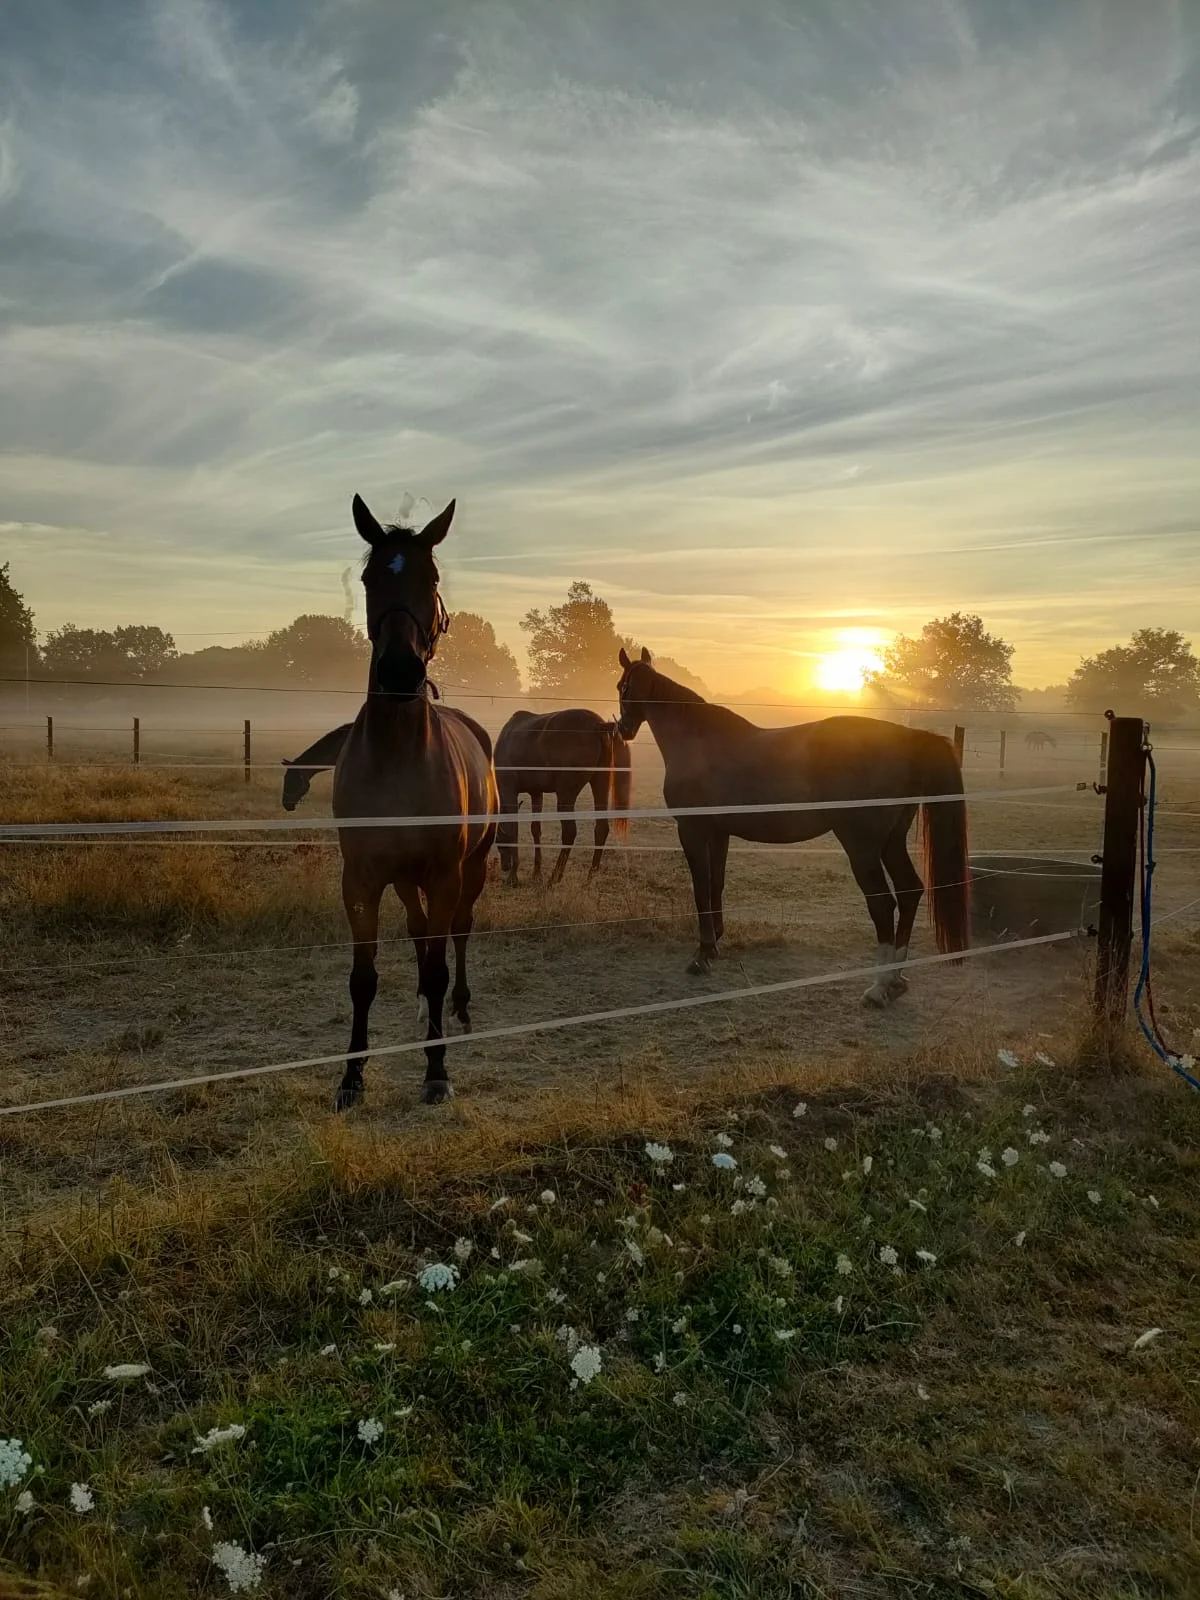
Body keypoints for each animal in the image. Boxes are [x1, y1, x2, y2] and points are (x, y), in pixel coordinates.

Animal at [329, 492, 499, 1107]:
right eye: (370, 576)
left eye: (432, 577)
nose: (401, 671)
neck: (398, 758)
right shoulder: (361, 879)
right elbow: (364, 977)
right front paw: (352, 1076)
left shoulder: (446, 874)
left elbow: (438, 966)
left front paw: (436, 1069)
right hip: (405, 880)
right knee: (423, 932)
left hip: (472, 868)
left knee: (455, 934)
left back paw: (459, 1009)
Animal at [496, 713, 633, 889]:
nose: (505, 866)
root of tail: (599, 725)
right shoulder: (536, 793)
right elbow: (535, 830)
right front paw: (536, 873)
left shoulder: (509, 791)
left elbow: (514, 830)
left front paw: (513, 877)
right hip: (600, 783)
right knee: (601, 829)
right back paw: (590, 878)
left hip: (565, 796)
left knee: (569, 832)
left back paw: (555, 877)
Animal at [614, 646, 972, 998]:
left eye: (622, 687)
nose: (623, 730)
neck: (699, 743)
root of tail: (908, 737)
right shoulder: (718, 833)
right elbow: (716, 884)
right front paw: (714, 945)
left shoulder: (691, 830)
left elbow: (701, 888)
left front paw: (701, 956)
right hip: (891, 843)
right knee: (910, 891)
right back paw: (896, 979)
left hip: (863, 849)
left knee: (883, 905)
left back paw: (879, 987)